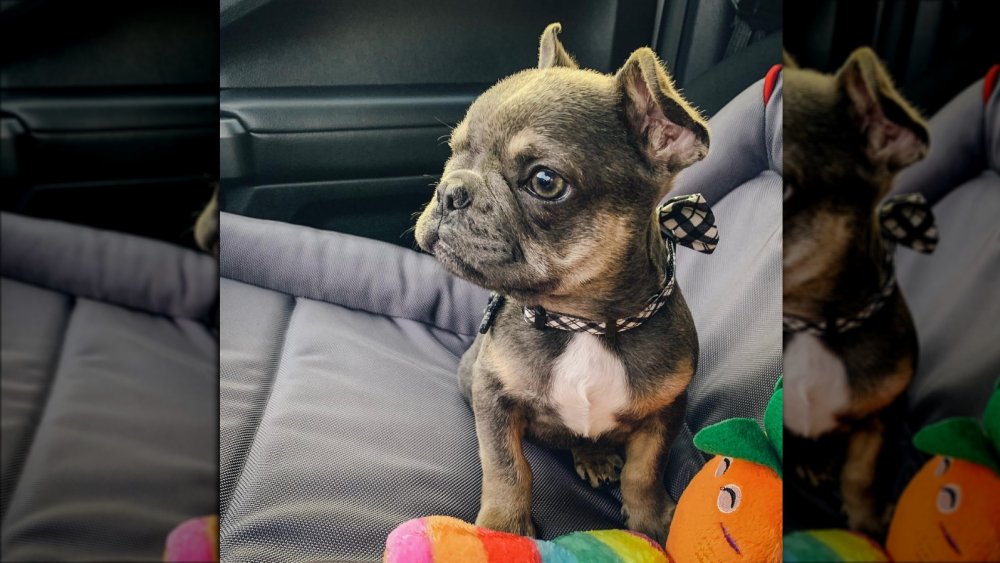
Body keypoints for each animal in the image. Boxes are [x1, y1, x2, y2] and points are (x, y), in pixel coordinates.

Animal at [410, 24, 708, 544]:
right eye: (453, 151)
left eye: (545, 181)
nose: (450, 191)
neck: (581, 322)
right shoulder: (493, 395)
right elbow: (506, 466)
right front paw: (503, 529)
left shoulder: (666, 410)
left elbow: (645, 470)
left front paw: (653, 520)